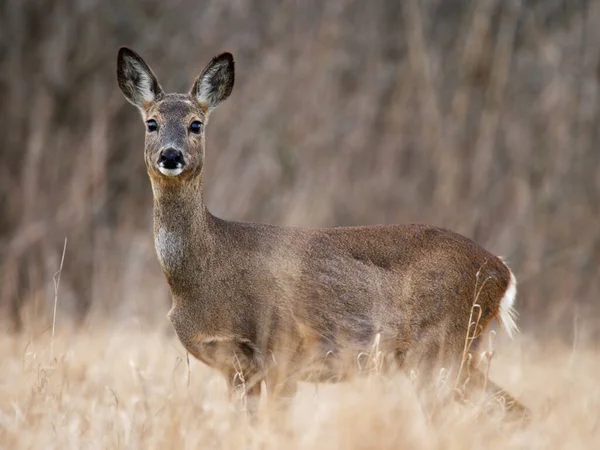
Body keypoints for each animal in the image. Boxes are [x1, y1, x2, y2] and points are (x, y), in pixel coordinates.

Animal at [118, 47, 528, 420]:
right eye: (151, 122)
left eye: (196, 124)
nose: (171, 156)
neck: (205, 272)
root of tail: (502, 271)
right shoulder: (236, 368)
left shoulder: (282, 347)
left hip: (441, 346)